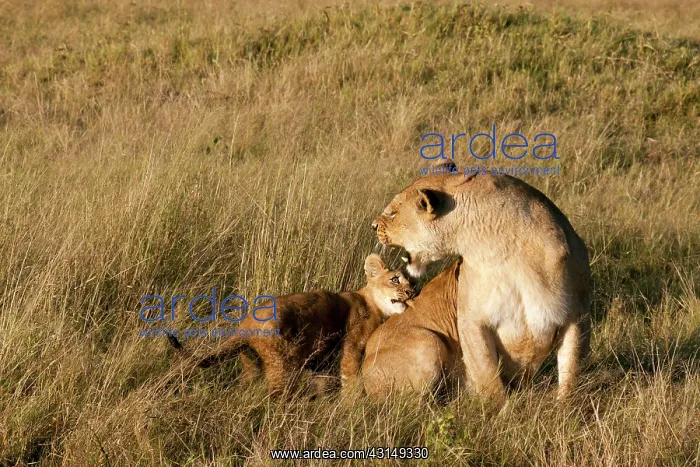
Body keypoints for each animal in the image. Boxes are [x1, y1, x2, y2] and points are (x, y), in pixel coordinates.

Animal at [167, 254, 414, 396]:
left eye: (411, 282)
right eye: (395, 279)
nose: (412, 291)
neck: (374, 305)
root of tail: (244, 325)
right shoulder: (350, 350)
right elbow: (352, 383)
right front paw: (351, 410)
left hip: (252, 368)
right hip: (283, 368)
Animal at [372, 166, 591, 401]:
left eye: (393, 213)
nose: (373, 226)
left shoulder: (577, 316)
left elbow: (571, 372)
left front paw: (564, 406)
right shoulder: (471, 319)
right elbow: (487, 374)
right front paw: (501, 408)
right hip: (428, 340)